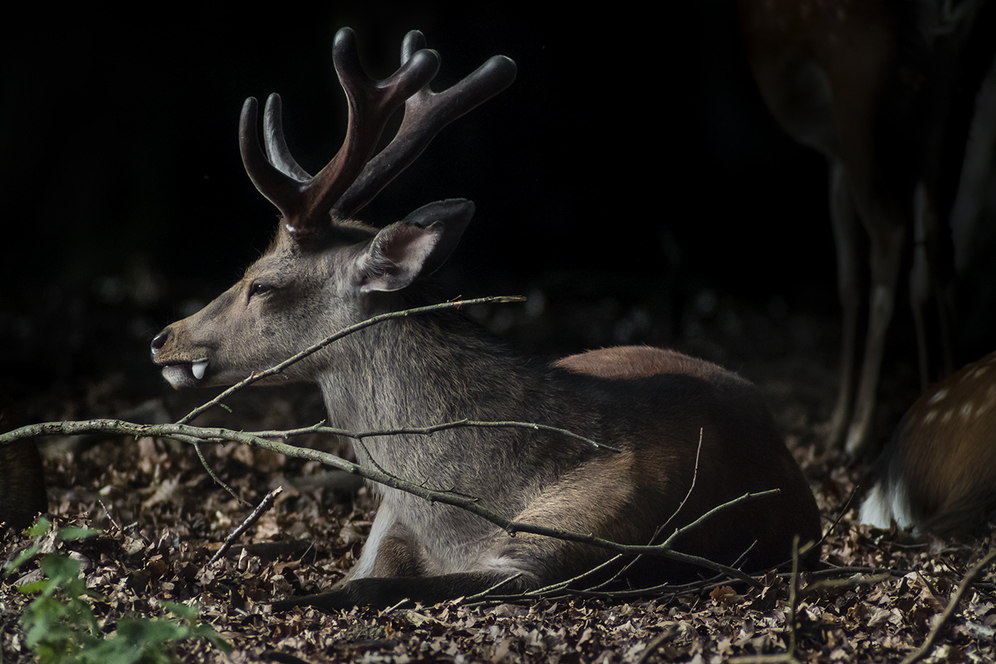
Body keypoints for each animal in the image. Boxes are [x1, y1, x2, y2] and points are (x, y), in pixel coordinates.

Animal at [152, 28, 820, 608]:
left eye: (261, 284)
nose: (164, 338)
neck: (459, 514)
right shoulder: (391, 522)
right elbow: (360, 572)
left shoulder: (567, 549)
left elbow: (362, 590)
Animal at [740, 0, 996, 456]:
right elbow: (916, 277)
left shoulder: (837, 149)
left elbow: (850, 278)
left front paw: (838, 422)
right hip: (956, 95)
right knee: (938, 241)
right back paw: (949, 388)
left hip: (857, 77)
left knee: (891, 235)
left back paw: (860, 431)